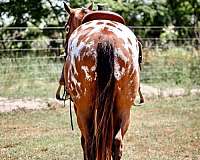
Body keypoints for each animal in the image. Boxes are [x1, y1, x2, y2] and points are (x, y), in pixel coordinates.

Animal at [62, 2, 141, 160]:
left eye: (66, 28)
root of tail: (106, 37)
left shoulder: (78, 108)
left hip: (84, 108)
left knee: (90, 142)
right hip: (124, 107)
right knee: (117, 142)